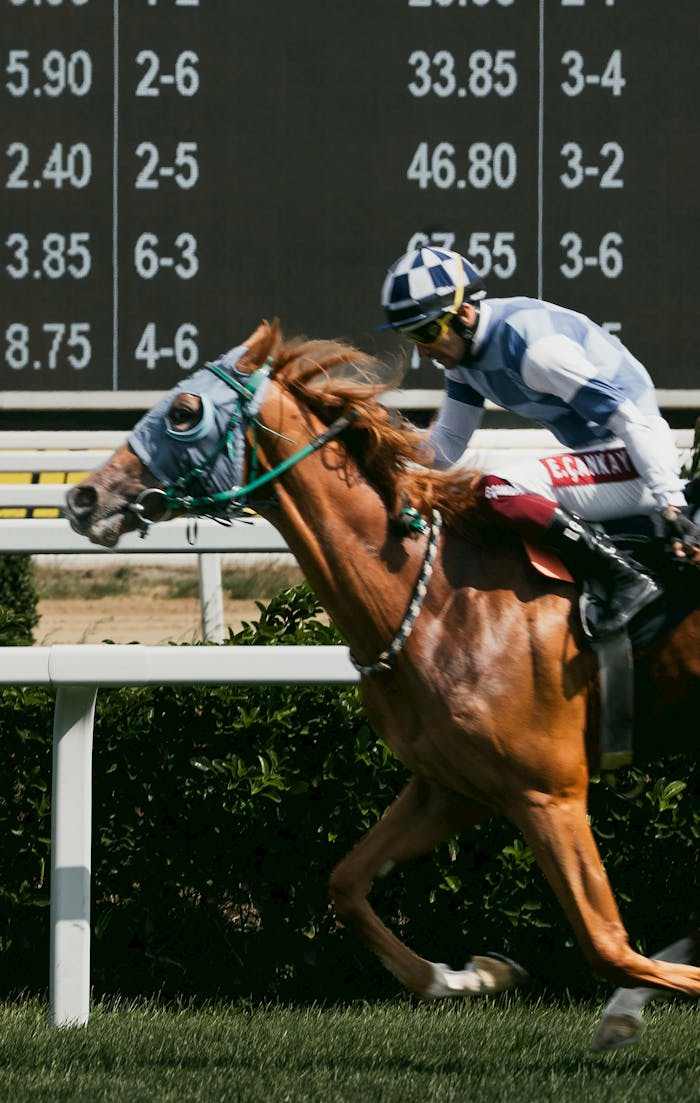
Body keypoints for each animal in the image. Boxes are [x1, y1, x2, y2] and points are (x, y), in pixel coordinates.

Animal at [65, 320, 700, 1046]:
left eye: (183, 411)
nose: (83, 497)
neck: (438, 599)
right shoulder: (450, 787)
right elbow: (346, 884)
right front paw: (472, 974)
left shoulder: (549, 791)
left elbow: (607, 944)